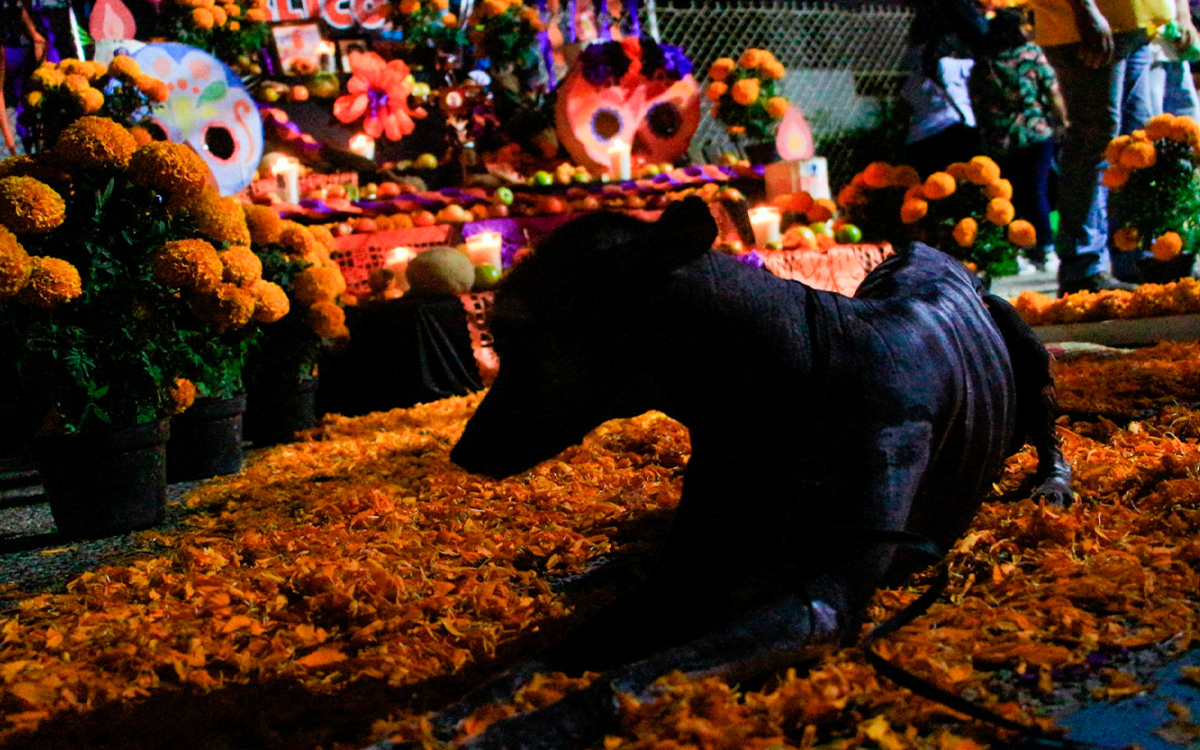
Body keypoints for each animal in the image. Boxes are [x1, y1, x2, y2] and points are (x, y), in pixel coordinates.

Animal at [412, 199, 1070, 748]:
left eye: (522, 337)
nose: (461, 453)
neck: (776, 387)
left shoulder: (816, 597)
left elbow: (624, 680)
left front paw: (510, 733)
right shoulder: (690, 570)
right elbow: (558, 651)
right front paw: (473, 703)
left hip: (1019, 334)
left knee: (1048, 426)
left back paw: (1053, 484)